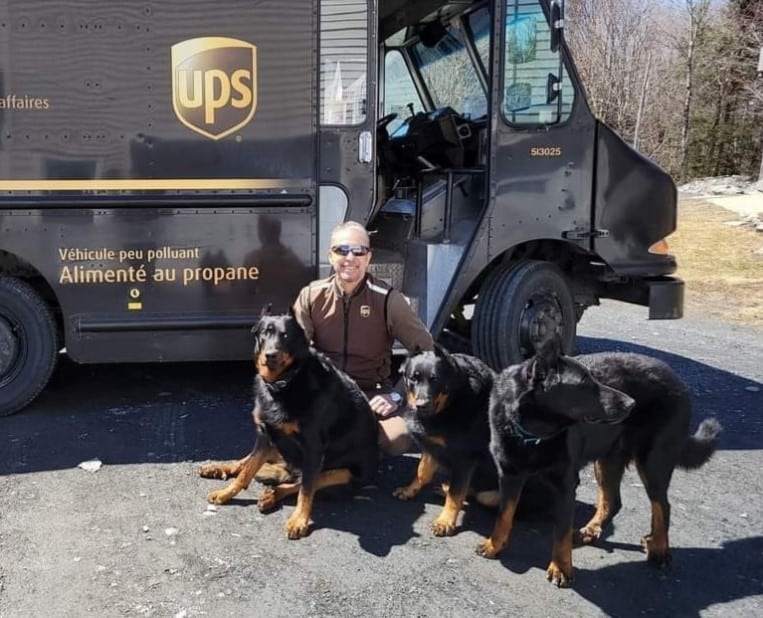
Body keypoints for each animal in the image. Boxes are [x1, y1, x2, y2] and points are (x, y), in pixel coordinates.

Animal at [197, 310, 376, 536]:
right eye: (265, 333)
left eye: (285, 336)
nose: (271, 354)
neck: (284, 383)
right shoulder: (265, 435)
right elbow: (246, 472)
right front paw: (226, 493)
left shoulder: (313, 448)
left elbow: (306, 489)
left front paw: (299, 520)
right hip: (277, 446)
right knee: (245, 463)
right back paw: (216, 468)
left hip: (343, 473)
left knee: (301, 483)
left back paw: (271, 496)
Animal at [390, 346, 498, 536]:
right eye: (413, 378)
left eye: (436, 379)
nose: (421, 405)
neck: (452, 402)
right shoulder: (432, 446)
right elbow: (422, 472)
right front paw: (410, 490)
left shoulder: (465, 459)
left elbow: (456, 494)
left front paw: (445, 522)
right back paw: (444, 489)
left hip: (491, 496)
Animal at [478, 334, 724, 584]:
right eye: (586, 385)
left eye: (595, 379)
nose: (631, 404)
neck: (534, 433)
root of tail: (678, 382)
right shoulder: (509, 476)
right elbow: (504, 514)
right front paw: (494, 545)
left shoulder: (566, 485)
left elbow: (561, 532)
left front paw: (560, 568)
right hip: (607, 461)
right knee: (613, 501)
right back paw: (591, 530)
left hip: (652, 462)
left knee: (662, 505)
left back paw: (659, 548)